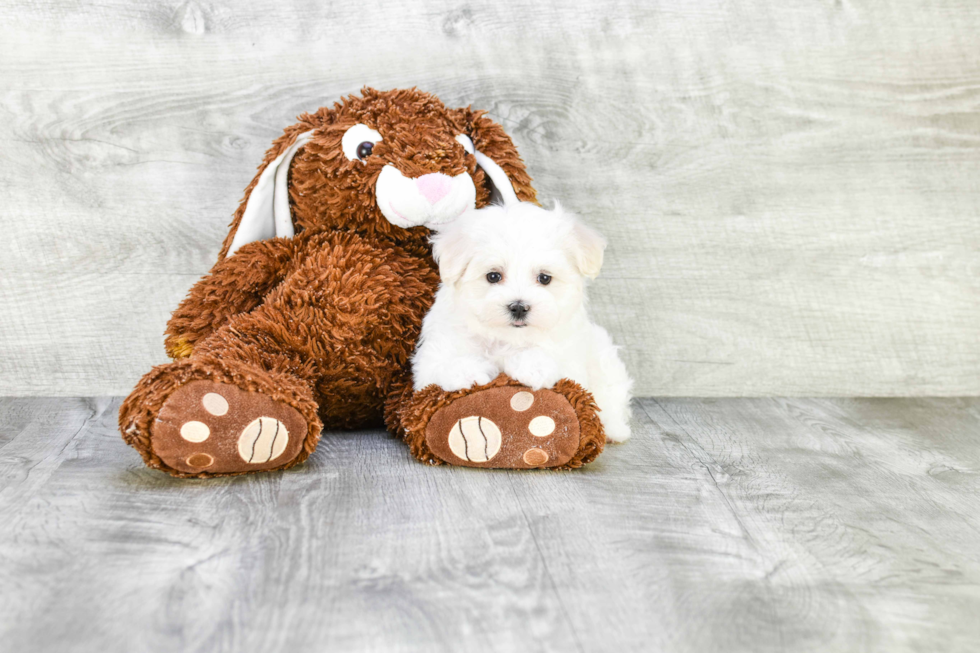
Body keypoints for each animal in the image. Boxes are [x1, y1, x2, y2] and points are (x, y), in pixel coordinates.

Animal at [410, 201, 632, 440]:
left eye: (544, 278)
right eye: (493, 276)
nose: (518, 307)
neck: (507, 338)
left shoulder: (571, 360)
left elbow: (552, 361)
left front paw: (533, 366)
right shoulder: (432, 358)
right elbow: (441, 366)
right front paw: (468, 371)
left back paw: (614, 429)